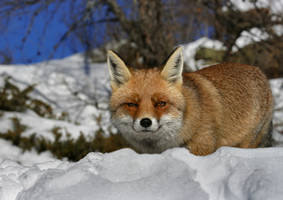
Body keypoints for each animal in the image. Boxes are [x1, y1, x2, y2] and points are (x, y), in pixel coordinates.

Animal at [107, 47, 274, 156]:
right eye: (132, 104)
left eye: (161, 103)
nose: (146, 122)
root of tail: (258, 70)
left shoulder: (202, 147)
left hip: (248, 142)